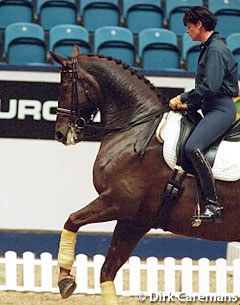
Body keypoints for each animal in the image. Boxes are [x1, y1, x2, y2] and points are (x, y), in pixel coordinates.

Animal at [51, 45, 240, 304]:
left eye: (64, 85)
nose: (60, 134)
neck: (136, 128)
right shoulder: (134, 219)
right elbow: (107, 271)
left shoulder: (117, 201)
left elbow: (72, 220)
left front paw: (64, 278)